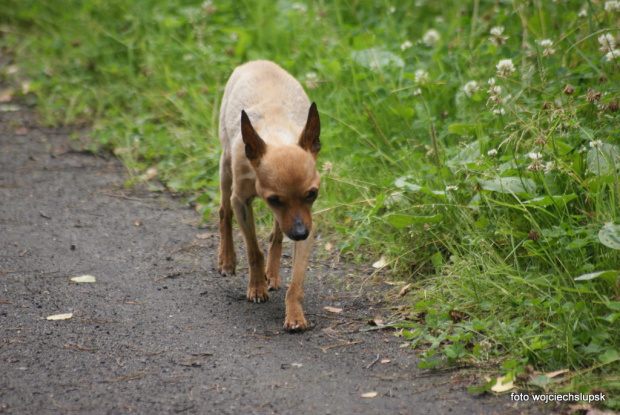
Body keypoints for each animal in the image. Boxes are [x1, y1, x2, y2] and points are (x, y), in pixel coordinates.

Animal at [217, 60, 322, 334]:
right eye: (274, 200)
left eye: (312, 194)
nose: (299, 233)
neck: (276, 135)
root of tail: (258, 61)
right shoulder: (242, 203)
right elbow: (254, 251)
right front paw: (256, 287)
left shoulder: (308, 222)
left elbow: (297, 280)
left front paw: (294, 314)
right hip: (225, 168)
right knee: (223, 212)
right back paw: (227, 259)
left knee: (276, 234)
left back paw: (272, 274)